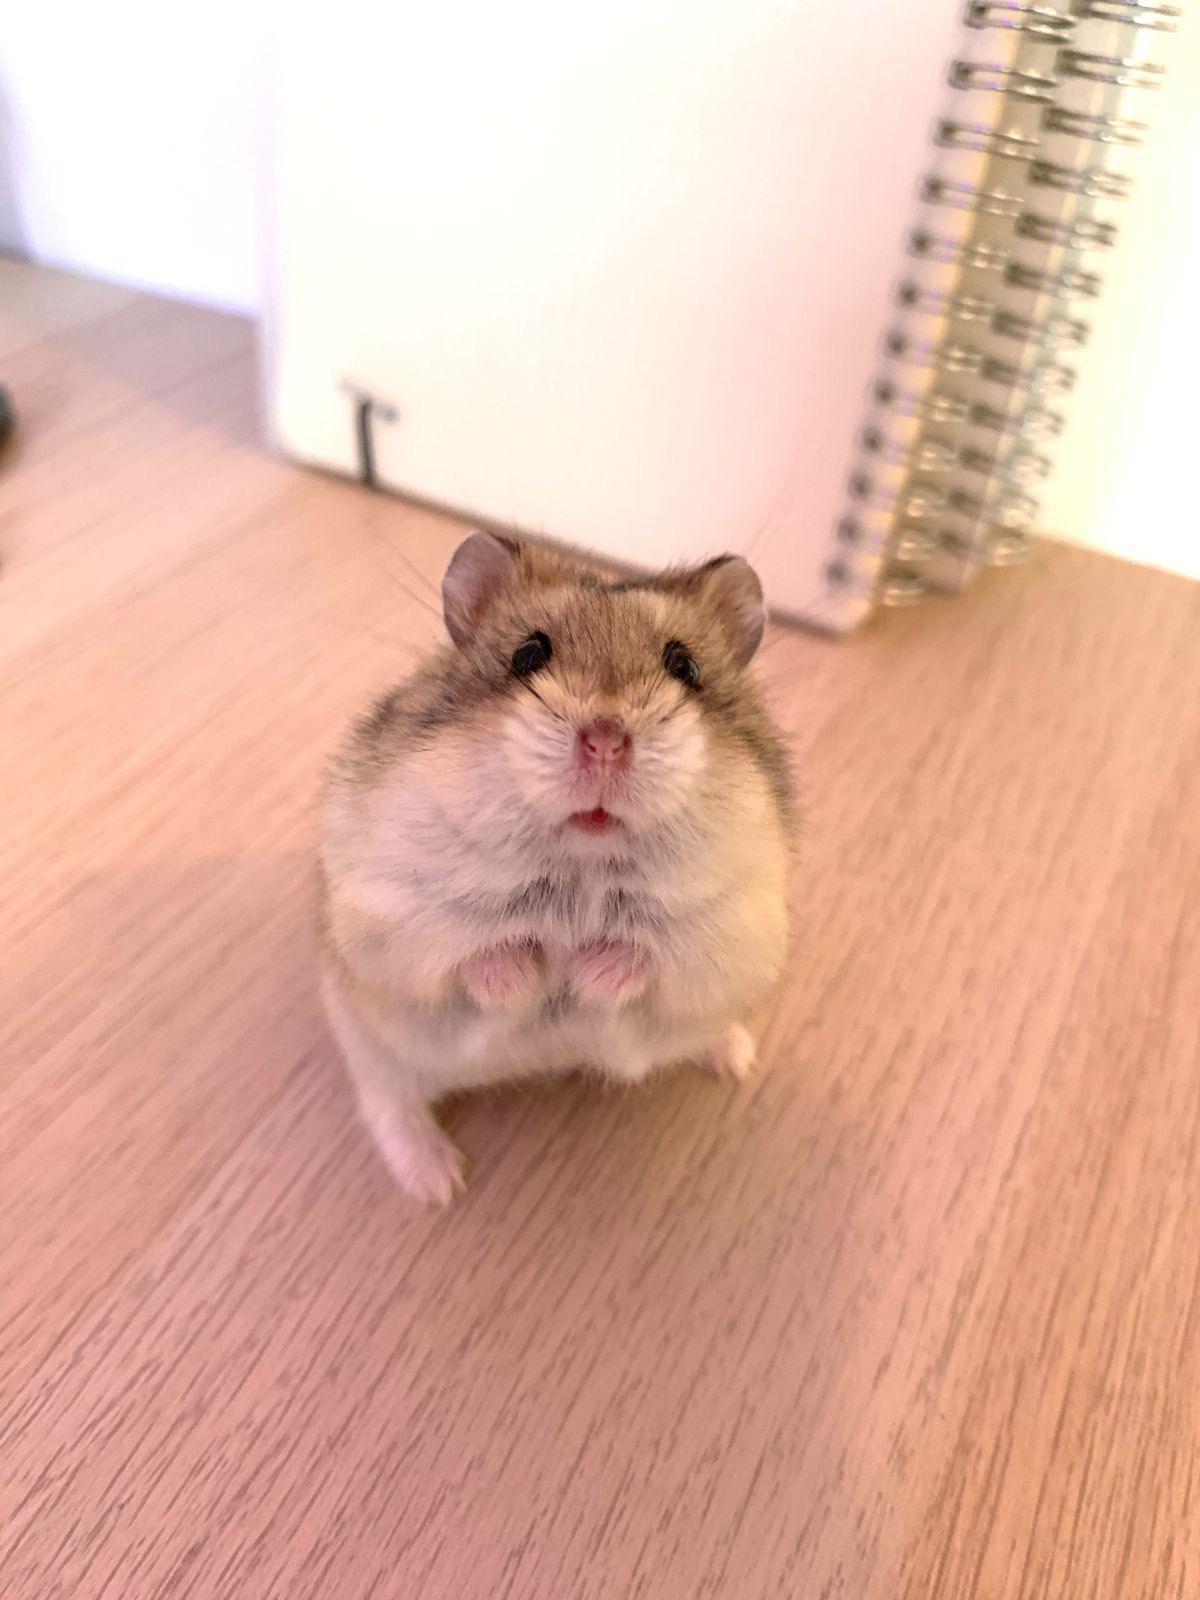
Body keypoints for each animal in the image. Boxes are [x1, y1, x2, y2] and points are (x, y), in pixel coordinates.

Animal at [319, 532, 793, 1204]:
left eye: (686, 668)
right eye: (528, 654)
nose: (606, 741)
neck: (580, 865)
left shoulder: (740, 932)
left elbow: (651, 955)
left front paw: (585, 974)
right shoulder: (390, 917)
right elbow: (473, 955)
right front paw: (537, 973)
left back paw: (734, 1058)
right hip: (371, 1044)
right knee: (388, 1105)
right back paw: (439, 1185)